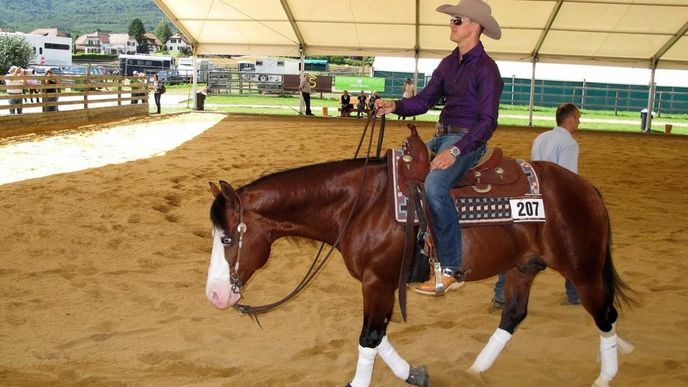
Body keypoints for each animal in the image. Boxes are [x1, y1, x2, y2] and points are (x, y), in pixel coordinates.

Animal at [206, 155, 636, 387]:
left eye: (227, 239)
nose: (214, 295)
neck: (360, 205)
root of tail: (586, 188)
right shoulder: (377, 284)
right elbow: (378, 336)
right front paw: (413, 373)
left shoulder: (378, 281)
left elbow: (369, 336)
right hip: (522, 268)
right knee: (513, 315)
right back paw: (476, 369)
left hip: (582, 267)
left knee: (605, 314)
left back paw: (606, 376)